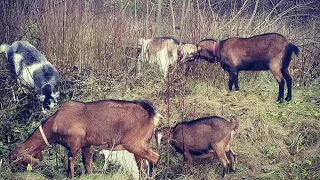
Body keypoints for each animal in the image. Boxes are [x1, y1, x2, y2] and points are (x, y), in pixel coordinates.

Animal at [10, 99, 162, 178]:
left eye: (16, 159)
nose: (11, 170)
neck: (55, 122)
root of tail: (151, 113)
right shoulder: (85, 145)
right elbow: (87, 162)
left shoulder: (74, 143)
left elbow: (71, 162)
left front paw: (70, 176)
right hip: (139, 147)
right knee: (142, 165)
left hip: (134, 143)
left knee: (155, 157)